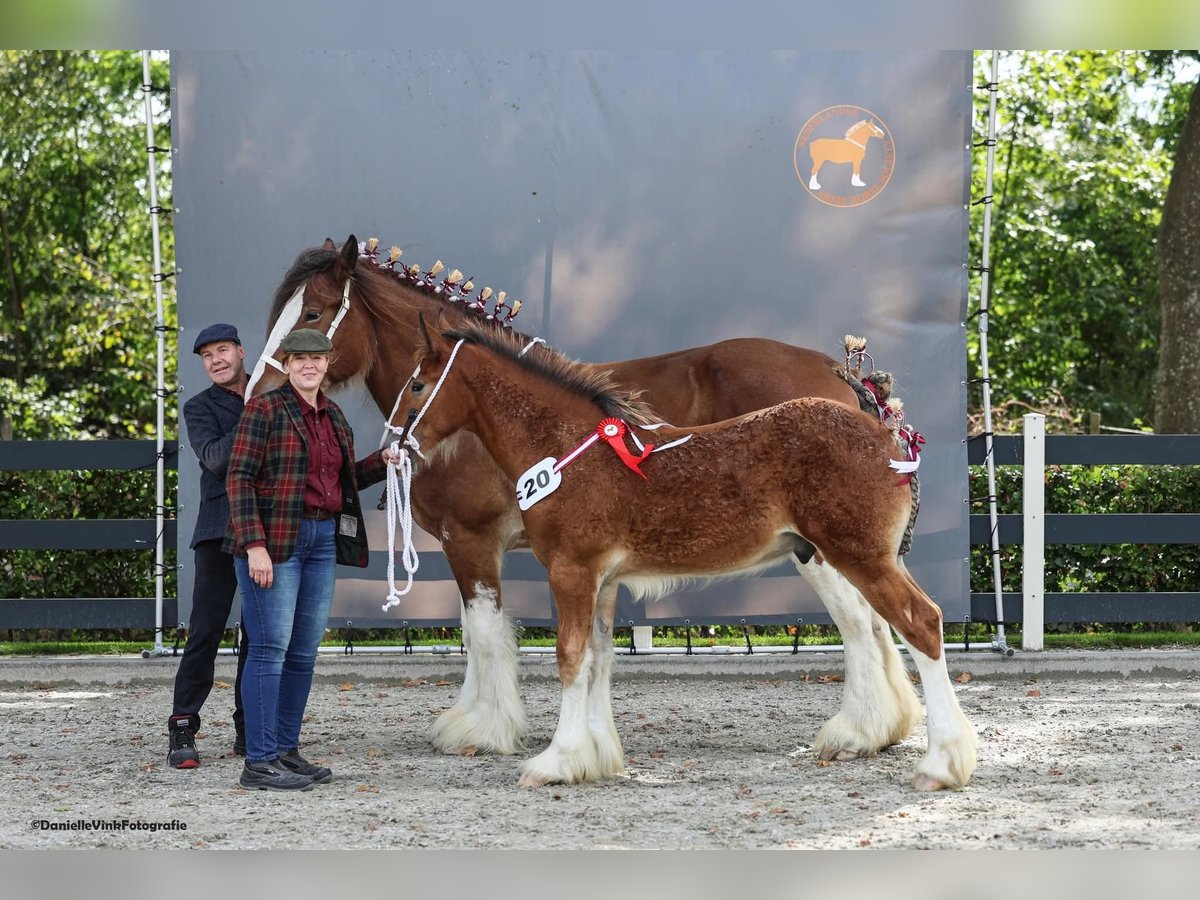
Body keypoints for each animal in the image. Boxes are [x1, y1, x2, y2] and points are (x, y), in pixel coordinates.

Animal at [252, 235, 921, 766]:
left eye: (314, 312)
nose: (261, 391)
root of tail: (844, 376)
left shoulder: (473, 542)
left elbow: (486, 633)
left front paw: (485, 729)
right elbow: (476, 633)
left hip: (820, 547)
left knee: (861, 621)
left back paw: (857, 731)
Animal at [391, 316, 977, 790]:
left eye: (418, 384)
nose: (393, 446)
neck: (566, 448)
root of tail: (887, 436)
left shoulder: (571, 570)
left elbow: (570, 657)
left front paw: (554, 762)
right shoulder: (604, 580)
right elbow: (598, 660)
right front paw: (594, 759)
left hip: (860, 557)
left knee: (921, 622)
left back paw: (939, 764)